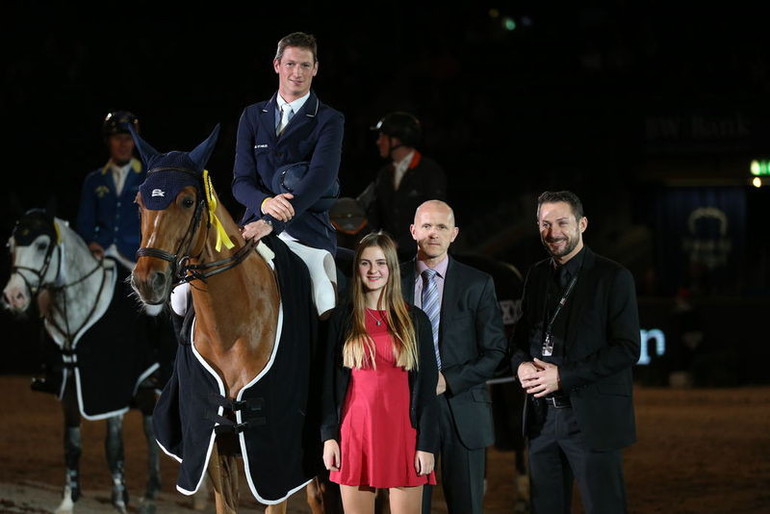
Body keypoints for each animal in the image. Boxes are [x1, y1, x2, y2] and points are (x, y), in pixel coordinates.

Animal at [127, 125, 334, 512]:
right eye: (139, 202)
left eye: (187, 201)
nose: (148, 280)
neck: (233, 328)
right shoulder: (213, 446)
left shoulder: (277, 459)